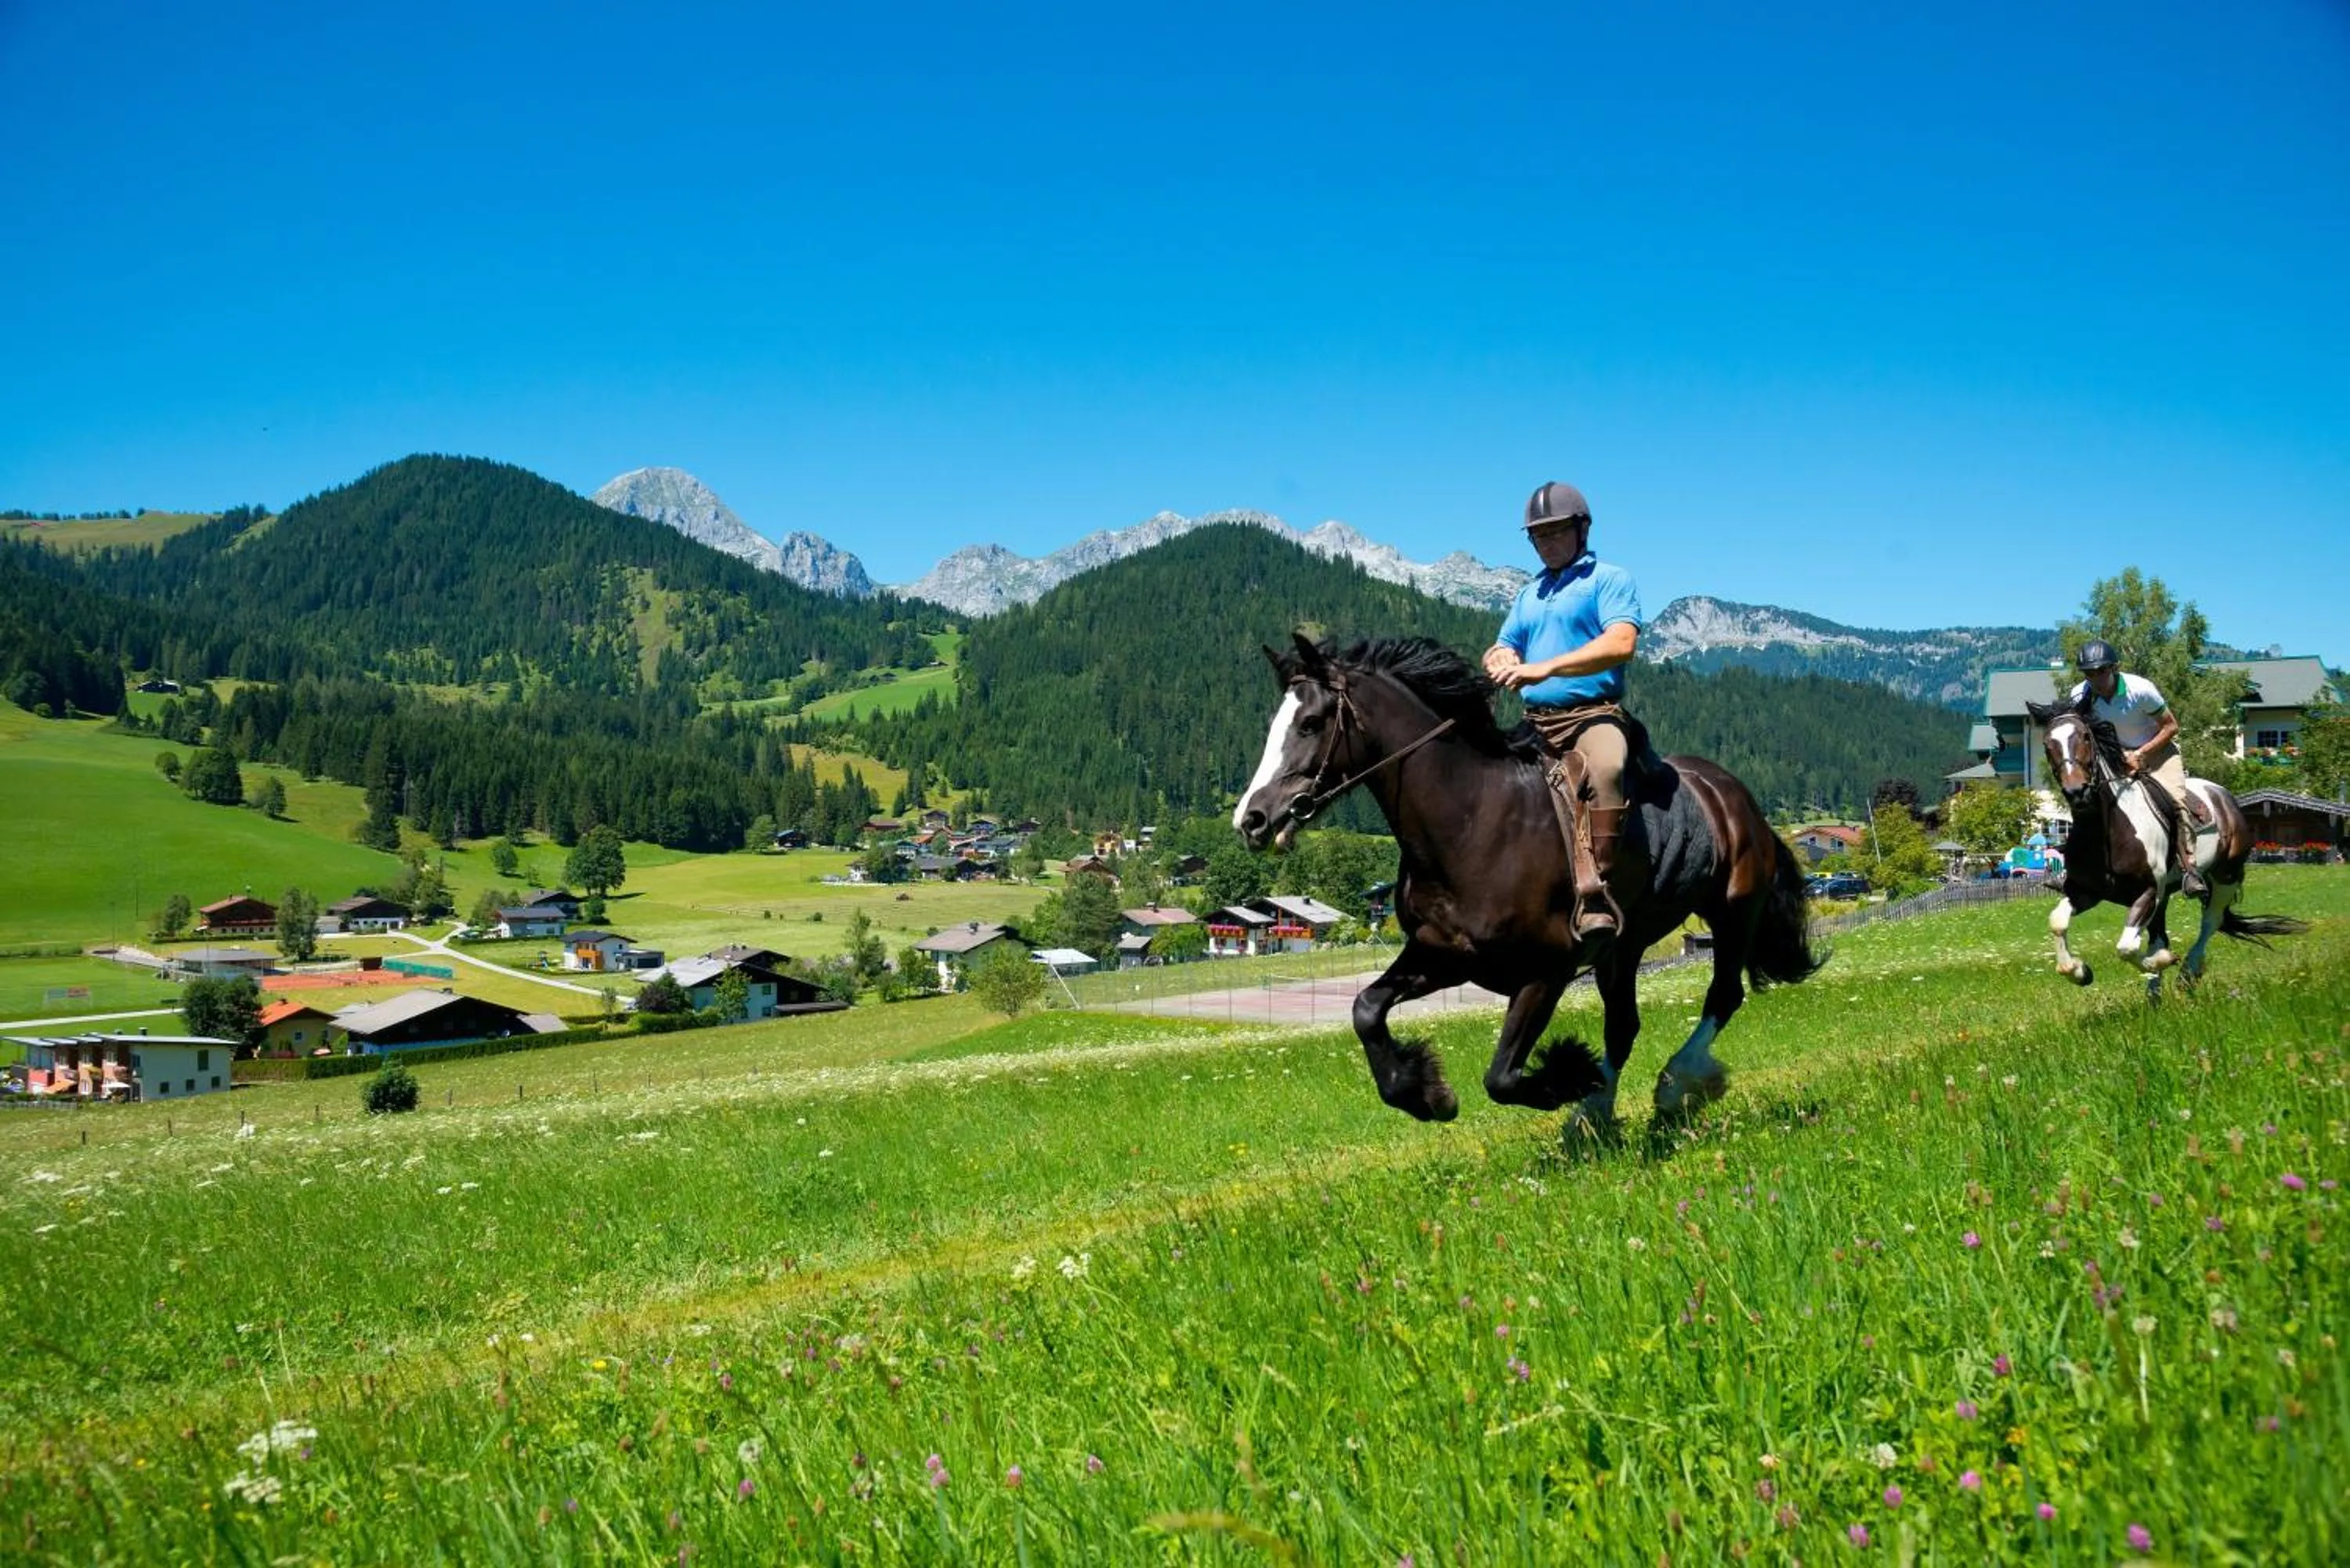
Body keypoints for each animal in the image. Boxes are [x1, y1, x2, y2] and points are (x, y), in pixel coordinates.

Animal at [1235, 633, 1823, 1139]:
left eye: (1311, 723)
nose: (1252, 819)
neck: (1472, 821)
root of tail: (1731, 793)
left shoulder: (1546, 971)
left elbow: (1502, 1077)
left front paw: (1567, 1076)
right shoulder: (1443, 955)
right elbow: (1365, 1009)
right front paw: (1424, 1093)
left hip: (1733, 913)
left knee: (1723, 995)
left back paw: (1678, 1084)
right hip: (1625, 947)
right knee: (1625, 1025)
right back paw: (1595, 1114)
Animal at [2026, 693, 2305, 998]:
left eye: (2086, 737)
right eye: (2047, 744)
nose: (2078, 792)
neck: (2105, 831)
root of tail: (2224, 796)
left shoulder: (2148, 891)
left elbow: (2127, 947)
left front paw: (2162, 961)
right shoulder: (2086, 892)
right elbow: (2058, 922)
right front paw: (2079, 971)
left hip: (2225, 876)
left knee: (2210, 922)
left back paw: (2188, 972)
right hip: (2169, 893)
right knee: (2162, 934)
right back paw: (2154, 995)